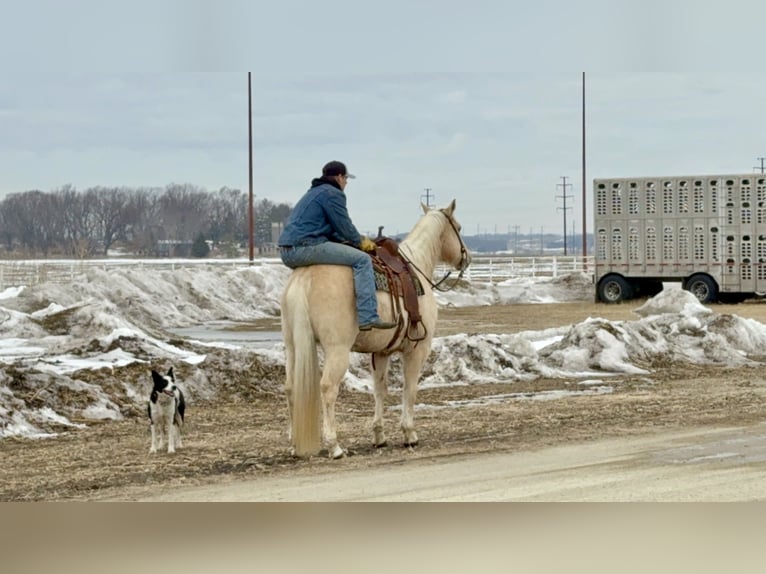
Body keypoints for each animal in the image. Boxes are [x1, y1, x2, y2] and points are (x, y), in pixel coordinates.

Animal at [280, 199, 471, 459]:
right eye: (458, 228)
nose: (466, 258)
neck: (417, 267)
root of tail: (303, 280)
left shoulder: (381, 352)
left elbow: (380, 389)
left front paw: (379, 435)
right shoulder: (417, 350)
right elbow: (409, 389)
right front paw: (409, 433)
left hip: (292, 346)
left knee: (290, 388)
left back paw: (293, 444)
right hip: (337, 350)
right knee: (328, 388)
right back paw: (334, 445)